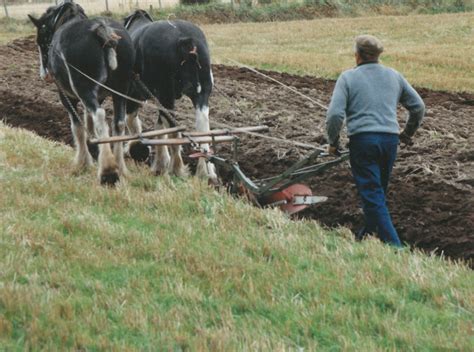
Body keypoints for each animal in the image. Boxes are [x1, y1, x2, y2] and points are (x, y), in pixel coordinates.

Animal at [28, 0, 134, 186]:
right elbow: (88, 121)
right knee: (118, 124)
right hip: (121, 91)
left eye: (40, 40)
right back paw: (120, 167)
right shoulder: (98, 96)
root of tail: (102, 29)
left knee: (100, 116)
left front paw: (83, 162)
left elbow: (77, 126)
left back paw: (108, 171)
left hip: (84, 88)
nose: (44, 75)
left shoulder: (67, 96)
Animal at [123, 10, 218, 182]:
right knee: (203, 133)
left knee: (175, 131)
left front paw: (135, 149)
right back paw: (205, 172)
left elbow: (131, 122)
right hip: (201, 95)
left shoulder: (133, 95)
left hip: (165, 94)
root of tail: (184, 38)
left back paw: (175, 168)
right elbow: (159, 128)